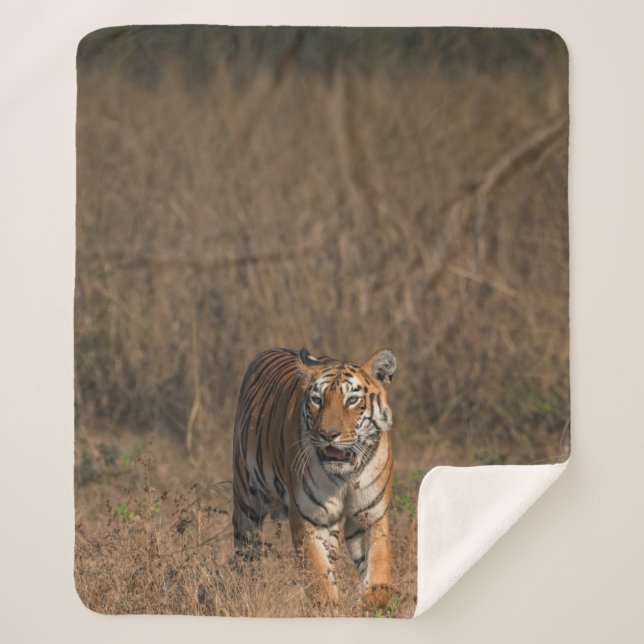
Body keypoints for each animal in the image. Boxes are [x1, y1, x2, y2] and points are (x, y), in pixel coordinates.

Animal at [232, 347, 397, 610]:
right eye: (317, 400)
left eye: (352, 400)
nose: (328, 434)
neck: (346, 474)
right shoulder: (308, 518)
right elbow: (320, 581)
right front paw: (330, 609)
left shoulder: (371, 516)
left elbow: (380, 577)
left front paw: (365, 606)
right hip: (247, 502)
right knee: (246, 557)